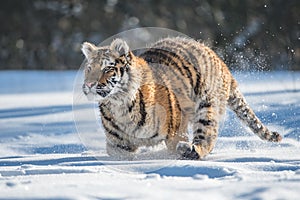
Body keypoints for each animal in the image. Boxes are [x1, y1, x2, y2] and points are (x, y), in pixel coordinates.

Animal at [80, 36, 282, 160]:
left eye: (107, 68)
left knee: (206, 139)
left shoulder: (175, 130)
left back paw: (190, 150)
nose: (89, 85)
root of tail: (221, 63)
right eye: (89, 68)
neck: (119, 106)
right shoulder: (119, 145)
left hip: (206, 107)